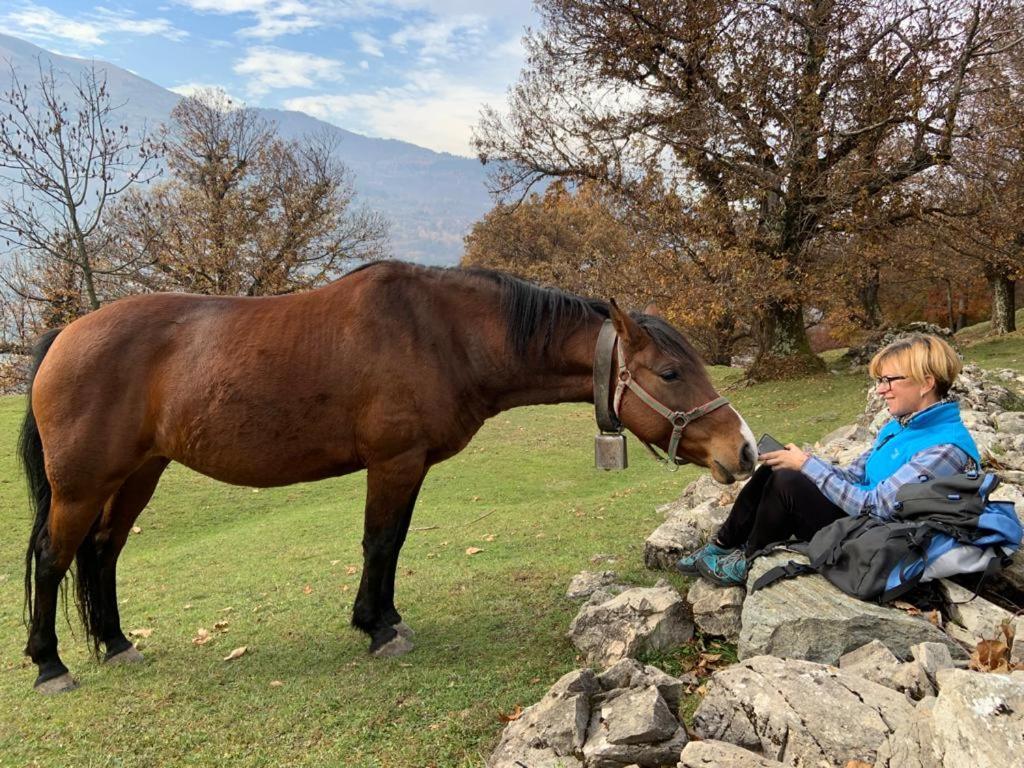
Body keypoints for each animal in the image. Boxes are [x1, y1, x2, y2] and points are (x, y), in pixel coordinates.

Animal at [20, 261, 757, 693]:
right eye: (671, 372)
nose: (745, 449)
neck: (443, 333)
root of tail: (64, 336)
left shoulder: (411, 465)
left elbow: (394, 544)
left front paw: (385, 617)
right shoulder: (393, 462)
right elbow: (379, 543)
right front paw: (376, 630)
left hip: (137, 474)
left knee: (102, 554)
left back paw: (116, 643)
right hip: (83, 485)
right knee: (56, 557)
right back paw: (50, 664)